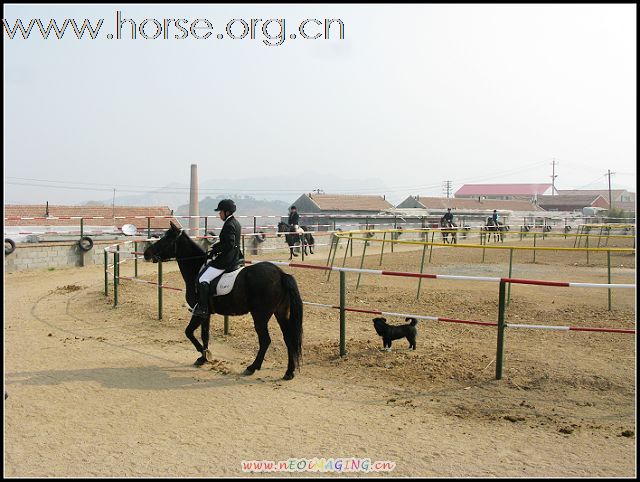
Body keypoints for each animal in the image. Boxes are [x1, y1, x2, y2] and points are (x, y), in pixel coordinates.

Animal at [144, 222, 304, 380]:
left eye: (166, 239)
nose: (146, 253)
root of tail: (281, 274)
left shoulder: (198, 312)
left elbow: (188, 332)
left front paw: (205, 354)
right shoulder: (206, 313)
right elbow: (204, 334)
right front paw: (203, 358)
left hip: (260, 315)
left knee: (265, 340)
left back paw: (252, 368)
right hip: (280, 313)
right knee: (288, 338)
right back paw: (289, 372)